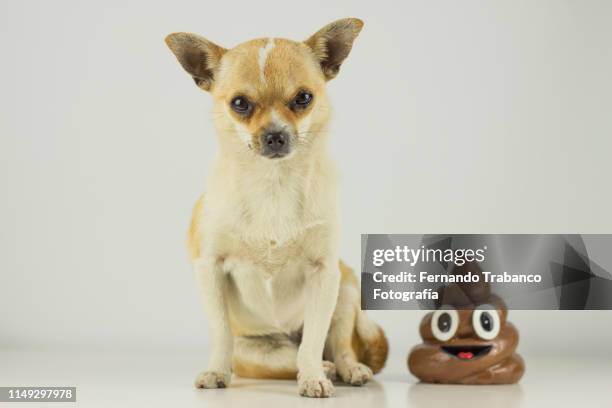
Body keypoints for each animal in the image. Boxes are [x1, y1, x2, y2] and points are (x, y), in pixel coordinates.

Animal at [165, 17, 388, 396]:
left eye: (303, 98)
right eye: (240, 103)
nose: (275, 135)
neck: (273, 183)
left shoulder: (324, 273)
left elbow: (313, 339)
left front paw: (312, 378)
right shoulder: (209, 267)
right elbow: (220, 333)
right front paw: (216, 372)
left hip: (345, 290)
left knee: (333, 346)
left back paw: (343, 368)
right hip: (255, 351)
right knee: (285, 358)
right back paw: (322, 368)